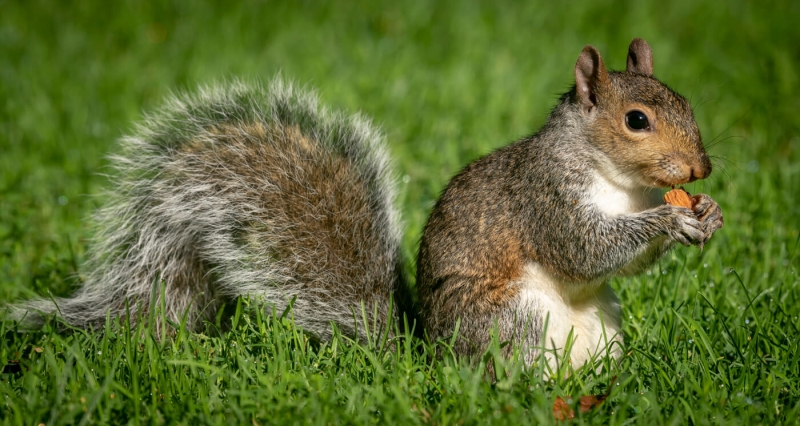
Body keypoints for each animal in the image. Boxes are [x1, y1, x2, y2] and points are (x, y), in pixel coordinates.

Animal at [3, 38, 720, 368]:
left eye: (687, 101)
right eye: (635, 120)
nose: (702, 167)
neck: (616, 180)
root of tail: (427, 359)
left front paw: (704, 212)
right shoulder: (544, 195)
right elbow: (583, 246)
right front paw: (670, 217)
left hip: (602, 326)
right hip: (511, 321)